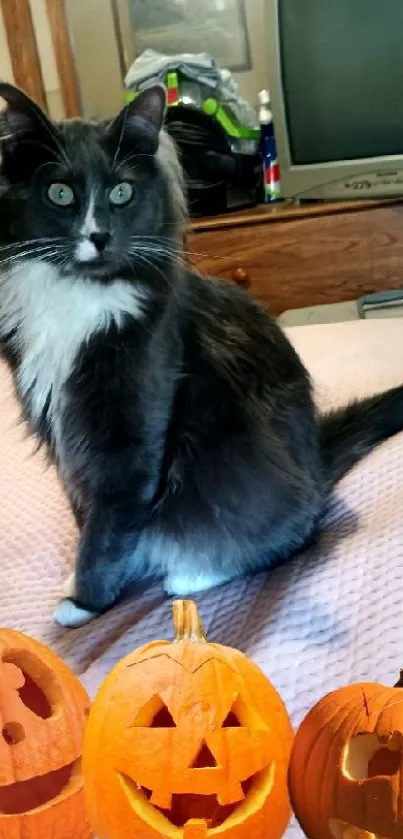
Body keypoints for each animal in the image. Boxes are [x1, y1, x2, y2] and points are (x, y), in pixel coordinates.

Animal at [0, 82, 403, 628]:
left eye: (121, 193)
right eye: (60, 194)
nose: (98, 237)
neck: (78, 295)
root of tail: (317, 468)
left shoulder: (130, 432)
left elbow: (110, 525)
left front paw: (85, 602)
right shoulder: (67, 438)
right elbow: (92, 516)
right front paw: (94, 582)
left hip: (267, 488)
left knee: (294, 533)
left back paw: (191, 573)